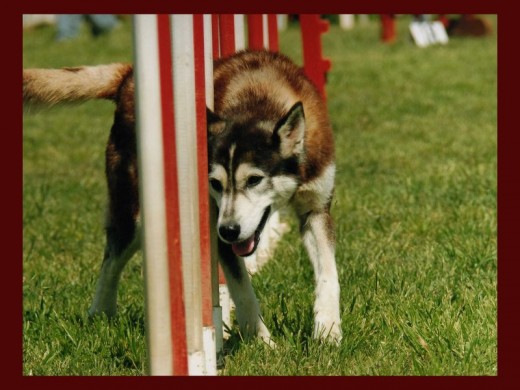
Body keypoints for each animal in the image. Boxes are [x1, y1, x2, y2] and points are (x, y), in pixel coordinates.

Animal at [23, 49, 342, 344]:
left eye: (254, 180)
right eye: (215, 183)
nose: (229, 230)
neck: (258, 98)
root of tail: (127, 77)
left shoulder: (316, 209)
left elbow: (329, 273)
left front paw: (327, 331)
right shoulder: (217, 225)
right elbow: (243, 291)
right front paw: (263, 344)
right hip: (134, 214)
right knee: (111, 260)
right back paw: (100, 314)